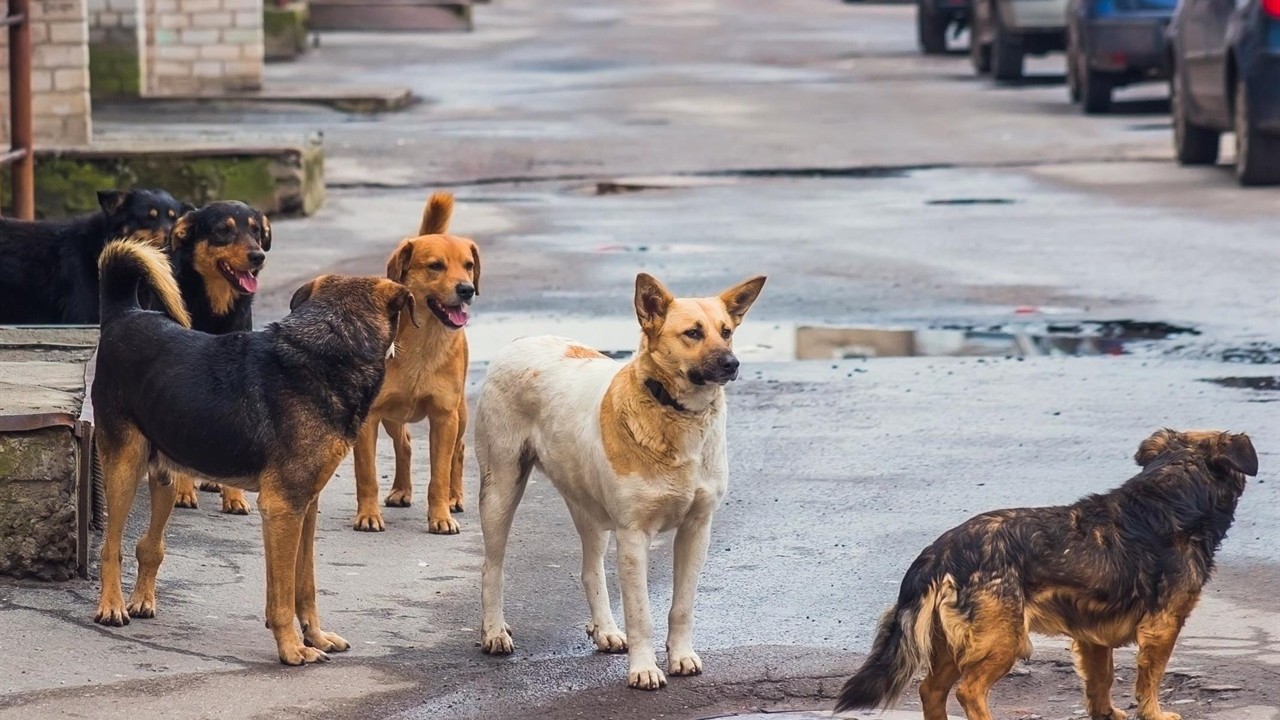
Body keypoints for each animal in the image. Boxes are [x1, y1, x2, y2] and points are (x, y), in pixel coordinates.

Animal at [162, 202, 272, 512]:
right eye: (224, 230)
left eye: (256, 230)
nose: (258, 256)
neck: (216, 309)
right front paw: (183, 492)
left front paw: (234, 497)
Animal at [350, 190, 481, 532]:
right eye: (435, 266)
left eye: (468, 265)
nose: (467, 289)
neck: (423, 342)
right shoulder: (369, 418)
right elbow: (367, 474)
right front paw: (368, 514)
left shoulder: (444, 417)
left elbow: (439, 475)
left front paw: (441, 516)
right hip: (392, 416)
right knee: (405, 444)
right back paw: (401, 490)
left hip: (460, 413)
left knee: (458, 452)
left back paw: (455, 497)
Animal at [476, 271, 762, 686]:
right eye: (692, 333)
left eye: (726, 332)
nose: (732, 363)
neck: (674, 412)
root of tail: (520, 341)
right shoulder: (633, 536)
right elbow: (641, 613)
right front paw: (644, 669)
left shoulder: (697, 529)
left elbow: (682, 606)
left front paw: (680, 656)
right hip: (500, 489)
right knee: (492, 567)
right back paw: (494, 631)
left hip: (588, 508)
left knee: (590, 571)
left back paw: (606, 630)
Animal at [834, 425, 1254, 717]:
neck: (1172, 495)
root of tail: (939, 553)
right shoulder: (1162, 627)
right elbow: (1149, 681)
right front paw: (1153, 714)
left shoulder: (1092, 635)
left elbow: (1101, 681)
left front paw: (1106, 714)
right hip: (1003, 639)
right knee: (968, 691)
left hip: (954, 643)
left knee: (931, 691)